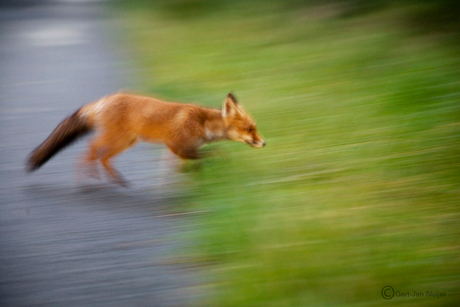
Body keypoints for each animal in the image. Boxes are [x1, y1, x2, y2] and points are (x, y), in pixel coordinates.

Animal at [27, 92, 266, 186]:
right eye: (250, 129)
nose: (264, 143)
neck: (202, 124)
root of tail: (103, 100)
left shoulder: (175, 151)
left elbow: (177, 169)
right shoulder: (177, 146)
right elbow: (213, 154)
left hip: (126, 142)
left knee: (100, 156)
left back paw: (116, 180)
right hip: (119, 140)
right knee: (91, 149)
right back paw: (91, 177)